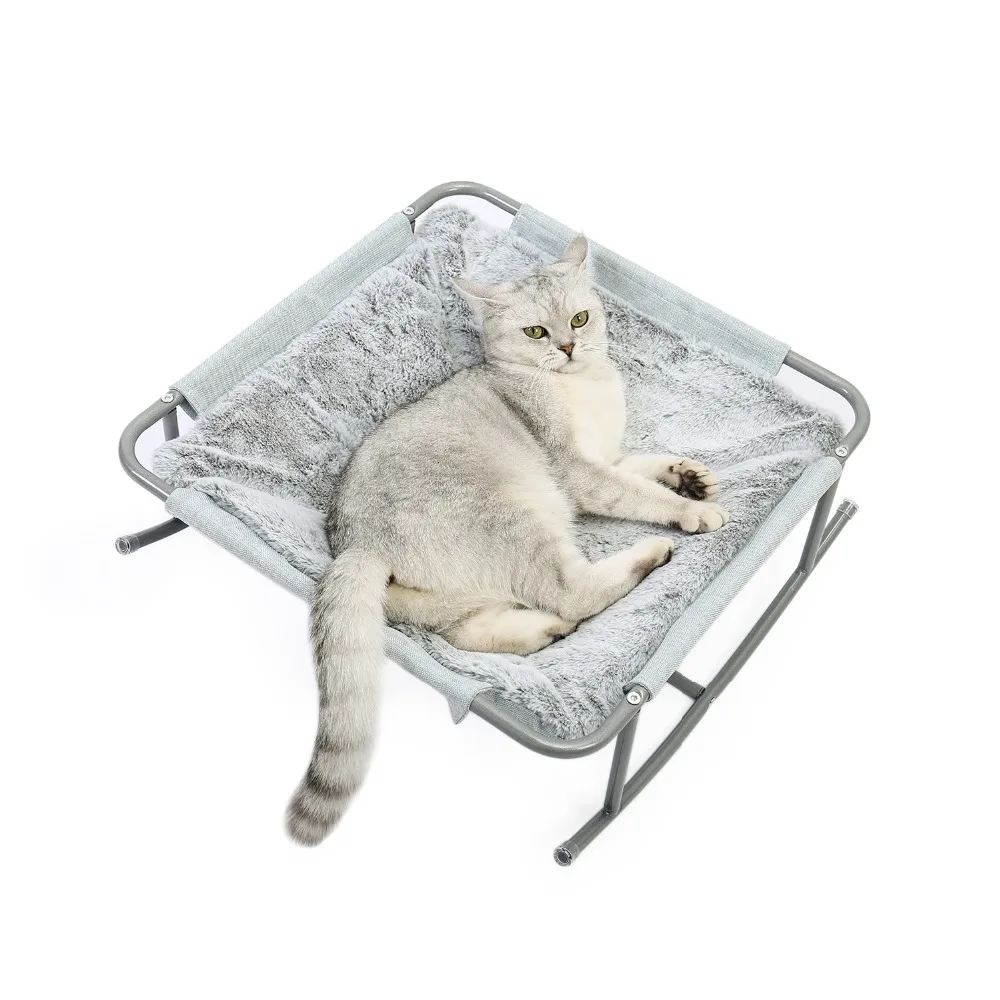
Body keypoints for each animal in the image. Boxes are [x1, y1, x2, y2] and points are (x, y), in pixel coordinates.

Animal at [286, 235, 729, 845]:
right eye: (536, 332)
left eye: (579, 318)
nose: (568, 346)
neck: (583, 388)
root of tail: (356, 545)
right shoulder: (581, 473)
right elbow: (638, 494)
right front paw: (692, 509)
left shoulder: (607, 458)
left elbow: (643, 467)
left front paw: (689, 476)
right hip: (520, 512)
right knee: (571, 591)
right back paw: (644, 558)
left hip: (447, 598)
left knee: (471, 631)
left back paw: (542, 631)